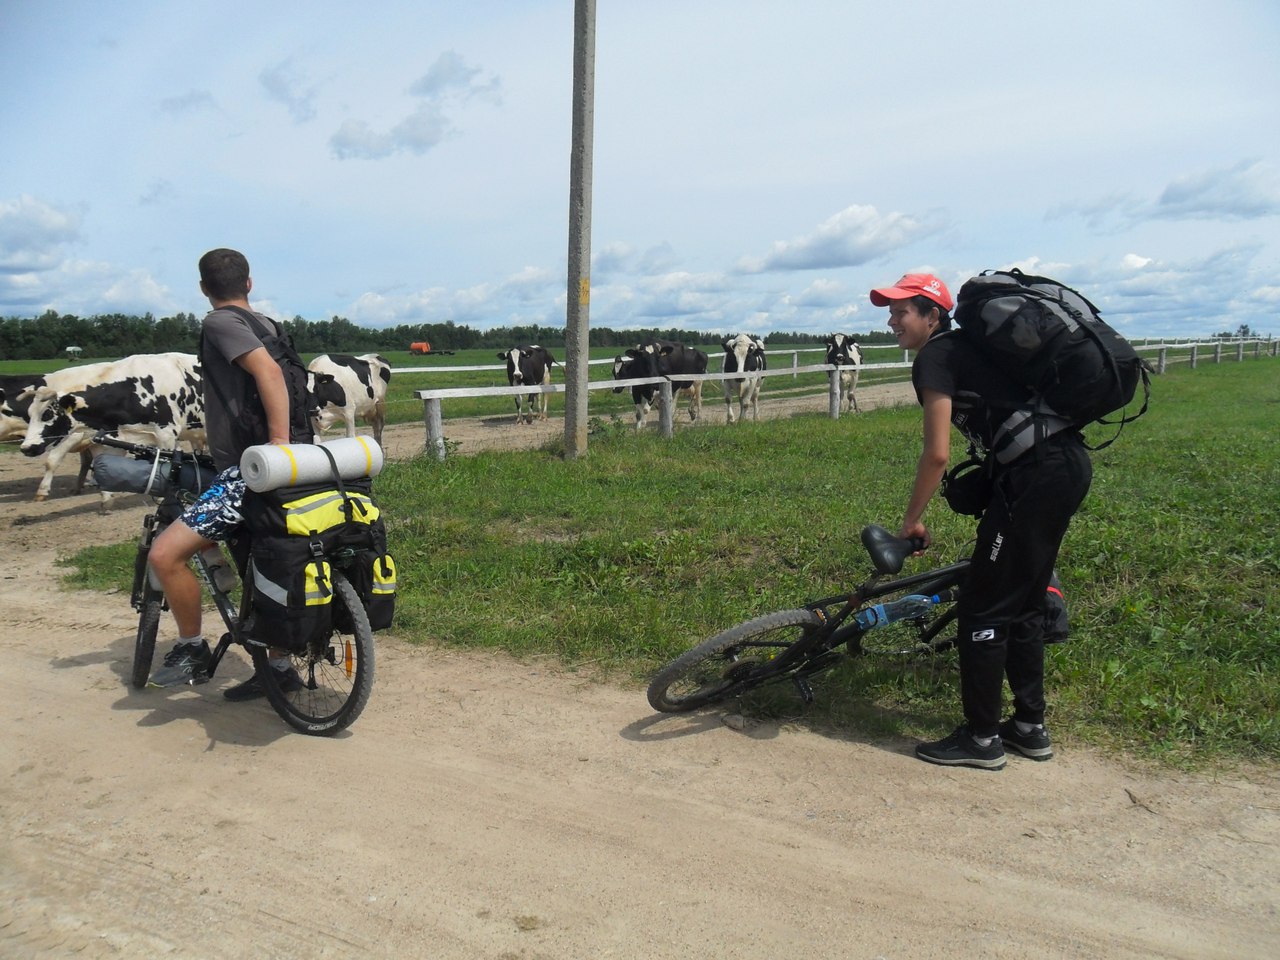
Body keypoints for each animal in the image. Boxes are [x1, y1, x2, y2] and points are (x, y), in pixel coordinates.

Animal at [19, 353, 204, 504]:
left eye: (47, 414)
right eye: (29, 413)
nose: (26, 448)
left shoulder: (166, 434)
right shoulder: (114, 439)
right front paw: (106, 498)